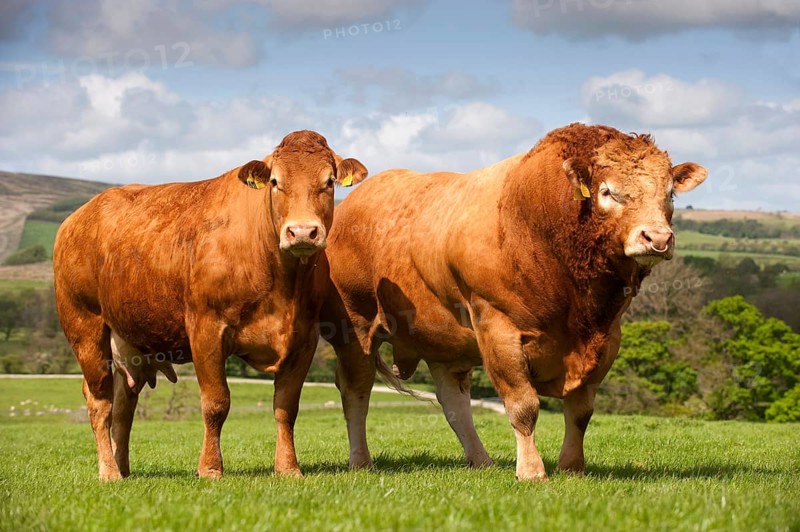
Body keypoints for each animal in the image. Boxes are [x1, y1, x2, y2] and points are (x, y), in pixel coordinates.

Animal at [54, 130, 368, 481]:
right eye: (275, 181)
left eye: (329, 181)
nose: (302, 232)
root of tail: (78, 217)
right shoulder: (206, 330)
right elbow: (216, 403)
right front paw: (210, 468)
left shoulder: (303, 338)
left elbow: (286, 407)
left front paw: (288, 468)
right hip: (85, 326)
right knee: (100, 402)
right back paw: (109, 472)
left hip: (128, 339)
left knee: (123, 406)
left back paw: (122, 468)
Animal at [321, 123, 707, 480]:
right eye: (607, 191)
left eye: (670, 194)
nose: (657, 238)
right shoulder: (498, 328)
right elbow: (523, 405)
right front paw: (532, 471)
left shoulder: (607, 338)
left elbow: (580, 411)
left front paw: (572, 467)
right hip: (354, 329)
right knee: (356, 392)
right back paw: (361, 461)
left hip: (443, 340)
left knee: (454, 402)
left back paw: (482, 462)